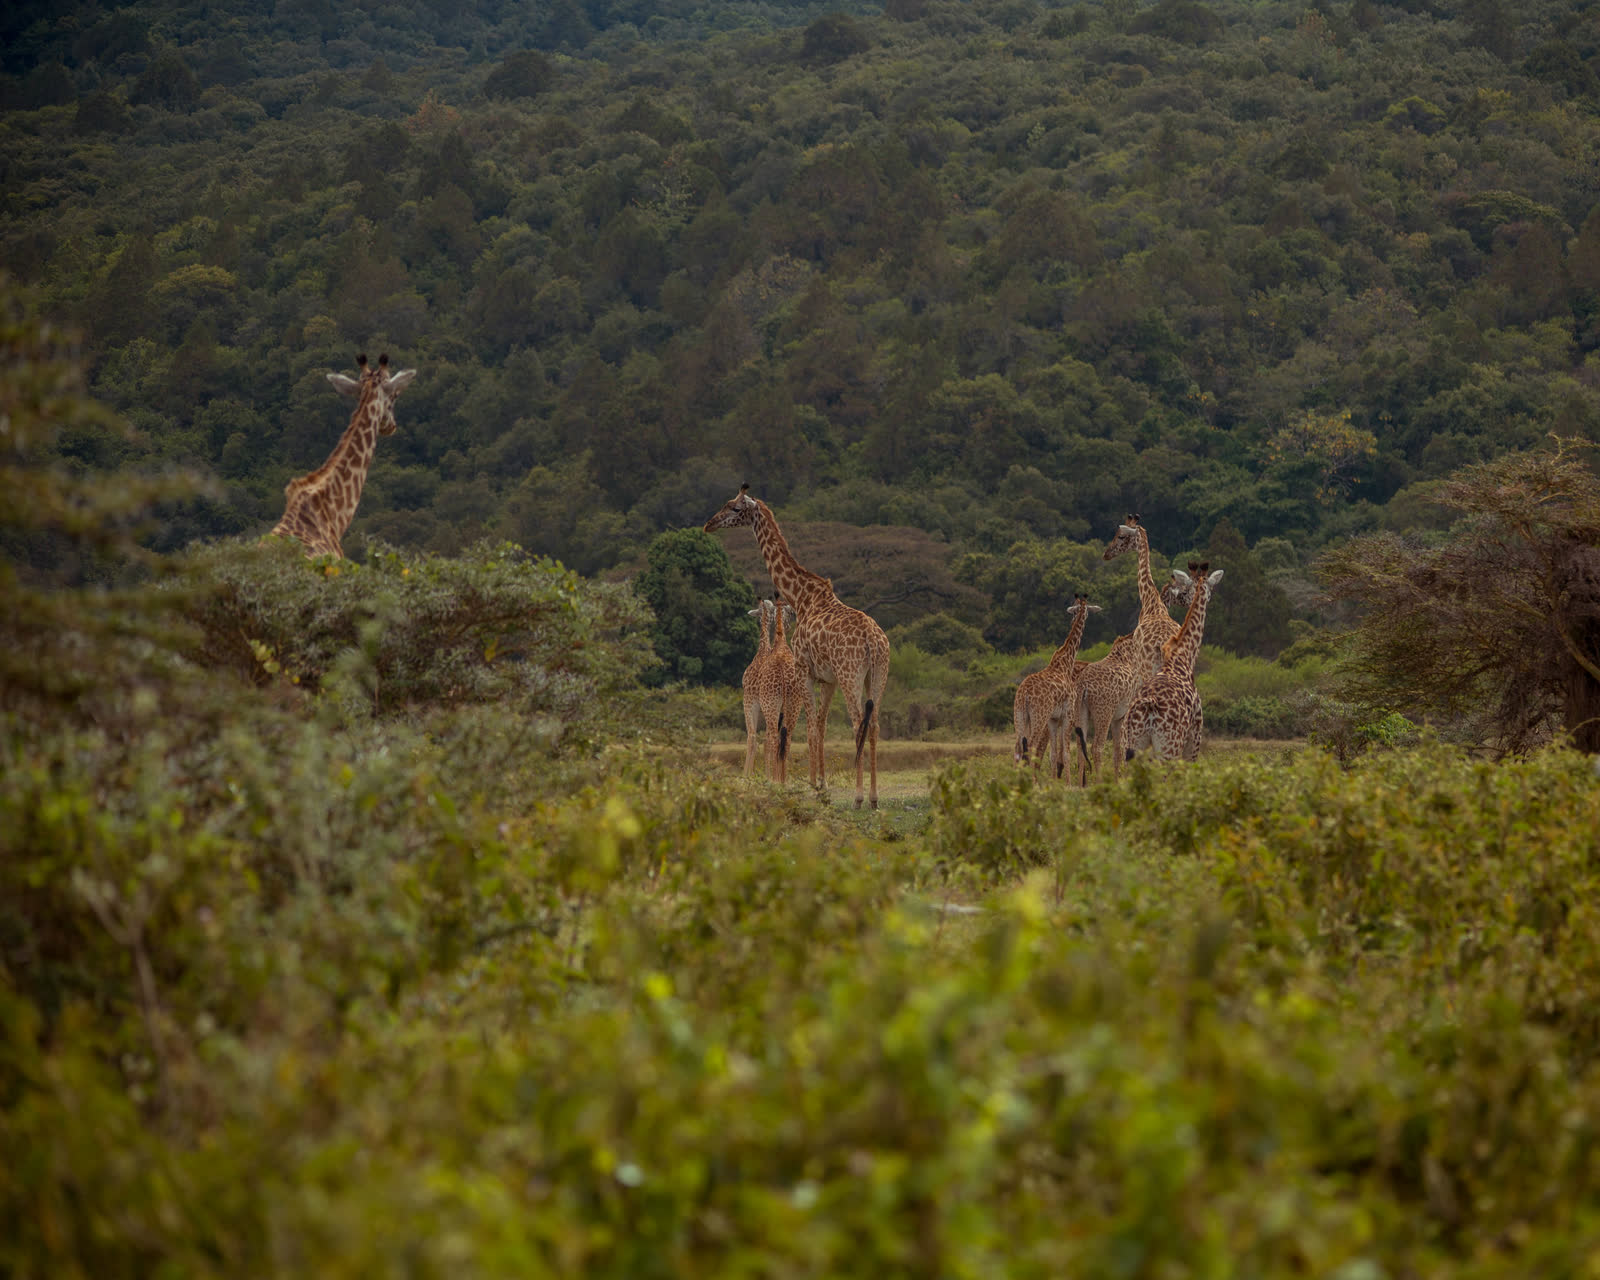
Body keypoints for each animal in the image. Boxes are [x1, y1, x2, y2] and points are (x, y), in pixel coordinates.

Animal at [704, 486, 891, 809]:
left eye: (734, 507)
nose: (709, 524)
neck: (803, 596)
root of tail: (872, 640)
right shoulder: (827, 678)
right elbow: (821, 726)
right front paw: (822, 784)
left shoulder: (805, 669)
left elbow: (811, 728)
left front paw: (817, 787)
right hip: (878, 674)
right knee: (875, 724)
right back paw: (875, 797)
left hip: (850, 674)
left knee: (858, 722)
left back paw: (858, 797)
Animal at [1013, 594, 1101, 778]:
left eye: (1073, 611)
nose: (1072, 619)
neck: (1066, 662)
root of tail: (1024, 694)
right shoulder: (1067, 714)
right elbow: (1066, 753)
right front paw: (1067, 782)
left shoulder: (1053, 719)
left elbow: (1054, 754)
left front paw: (1054, 781)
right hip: (1039, 716)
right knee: (1031, 747)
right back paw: (1032, 781)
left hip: (1019, 715)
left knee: (1017, 748)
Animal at [1070, 515, 1183, 784]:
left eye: (1121, 536)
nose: (1106, 554)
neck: (1152, 605)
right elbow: (1121, 748)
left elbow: (1119, 748)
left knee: (1088, 747)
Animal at [1124, 562, 1224, 763]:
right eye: (1211, 588)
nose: (1210, 598)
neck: (1183, 654)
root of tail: (1148, 705)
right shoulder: (1194, 737)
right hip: (1169, 747)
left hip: (1134, 744)